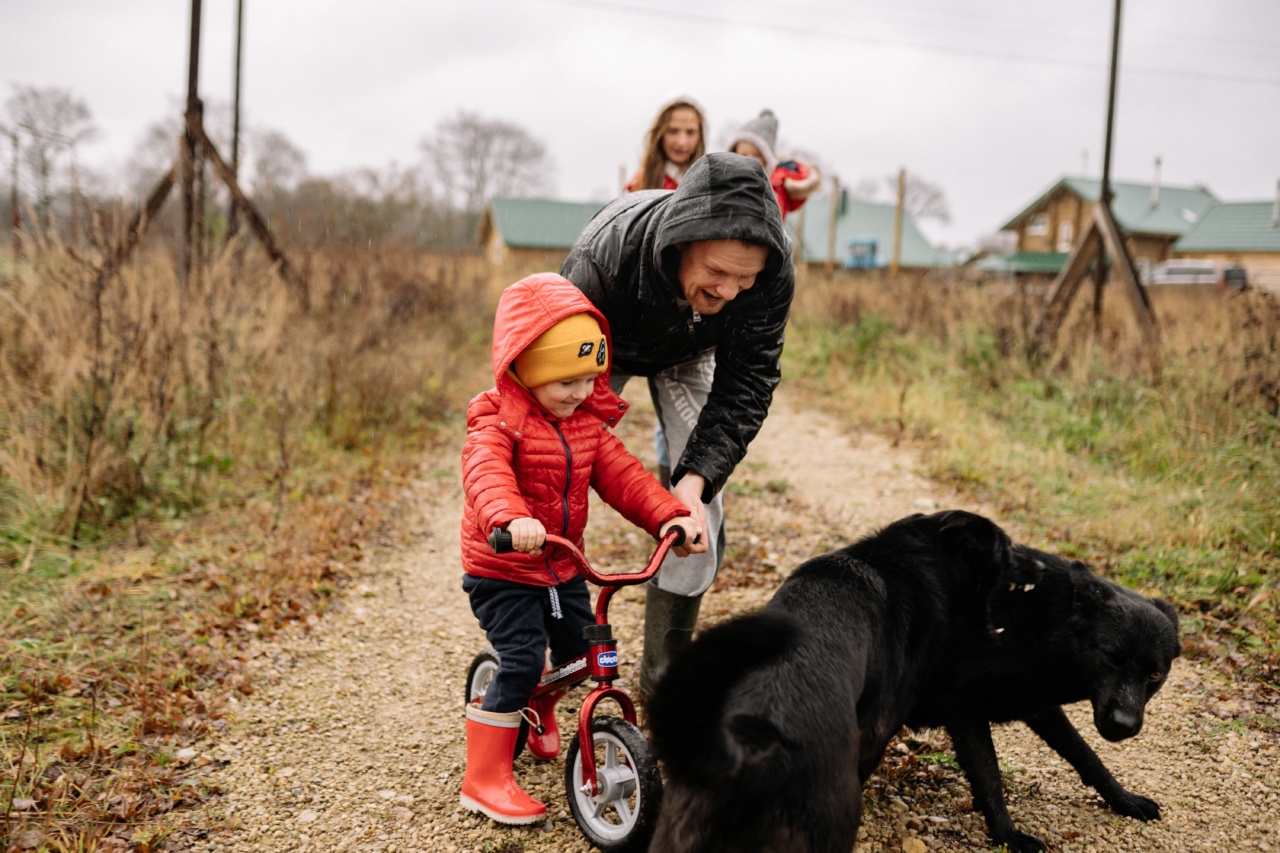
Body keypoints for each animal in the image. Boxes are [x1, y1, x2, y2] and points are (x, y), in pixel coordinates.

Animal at [650, 507, 1177, 850]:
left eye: (1154, 674)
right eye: (1111, 658)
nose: (1126, 725)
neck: (1049, 622)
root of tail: (745, 749)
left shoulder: (1038, 705)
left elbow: (1086, 757)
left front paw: (1125, 801)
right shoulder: (962, 710)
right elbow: (989, 778)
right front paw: (1008, 837)